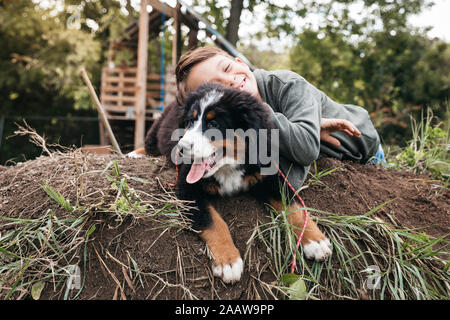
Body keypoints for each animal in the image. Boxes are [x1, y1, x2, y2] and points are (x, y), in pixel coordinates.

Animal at [172, 82, 330, 282]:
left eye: (214, 124)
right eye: (190, 122)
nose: (181, 148)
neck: (228, 166)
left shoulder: (270, 178)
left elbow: (294, 208)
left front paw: (315, 241)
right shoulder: (188, 188)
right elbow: (213, 221)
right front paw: (228, 261)